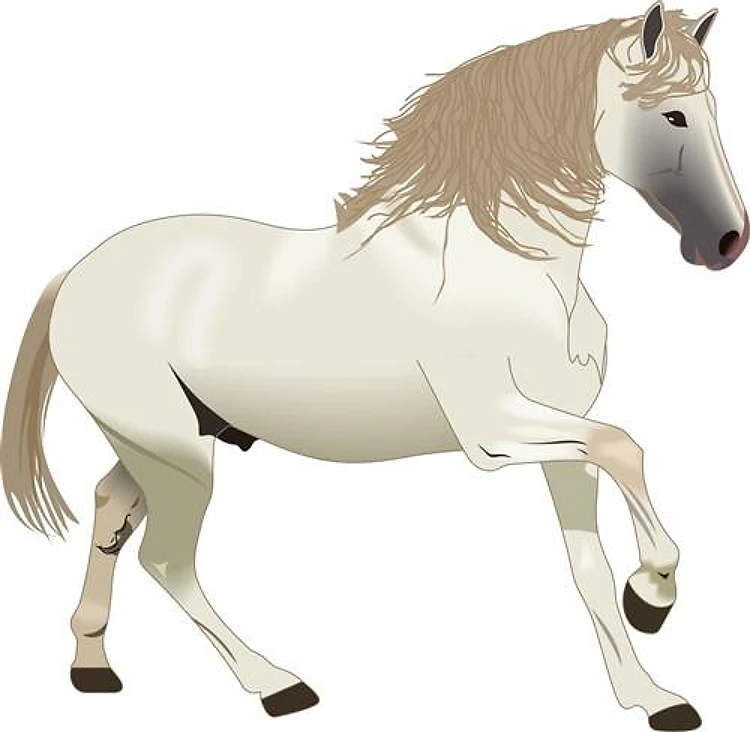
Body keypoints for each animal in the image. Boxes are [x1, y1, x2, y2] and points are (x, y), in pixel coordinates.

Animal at [1, 3, 745, 730]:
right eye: (672, 114)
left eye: (712, 108)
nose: (728, 241)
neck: (511, 268)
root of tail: (76, 275)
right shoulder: (493, 432)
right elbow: (625, 447)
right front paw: (652, 594)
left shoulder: (562, 437)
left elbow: (588, 562)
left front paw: (654, 696)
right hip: (178, 457)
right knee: (165, 559)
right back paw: (277, 684)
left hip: (164, 444)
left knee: (109, 509)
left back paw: (92, 666)